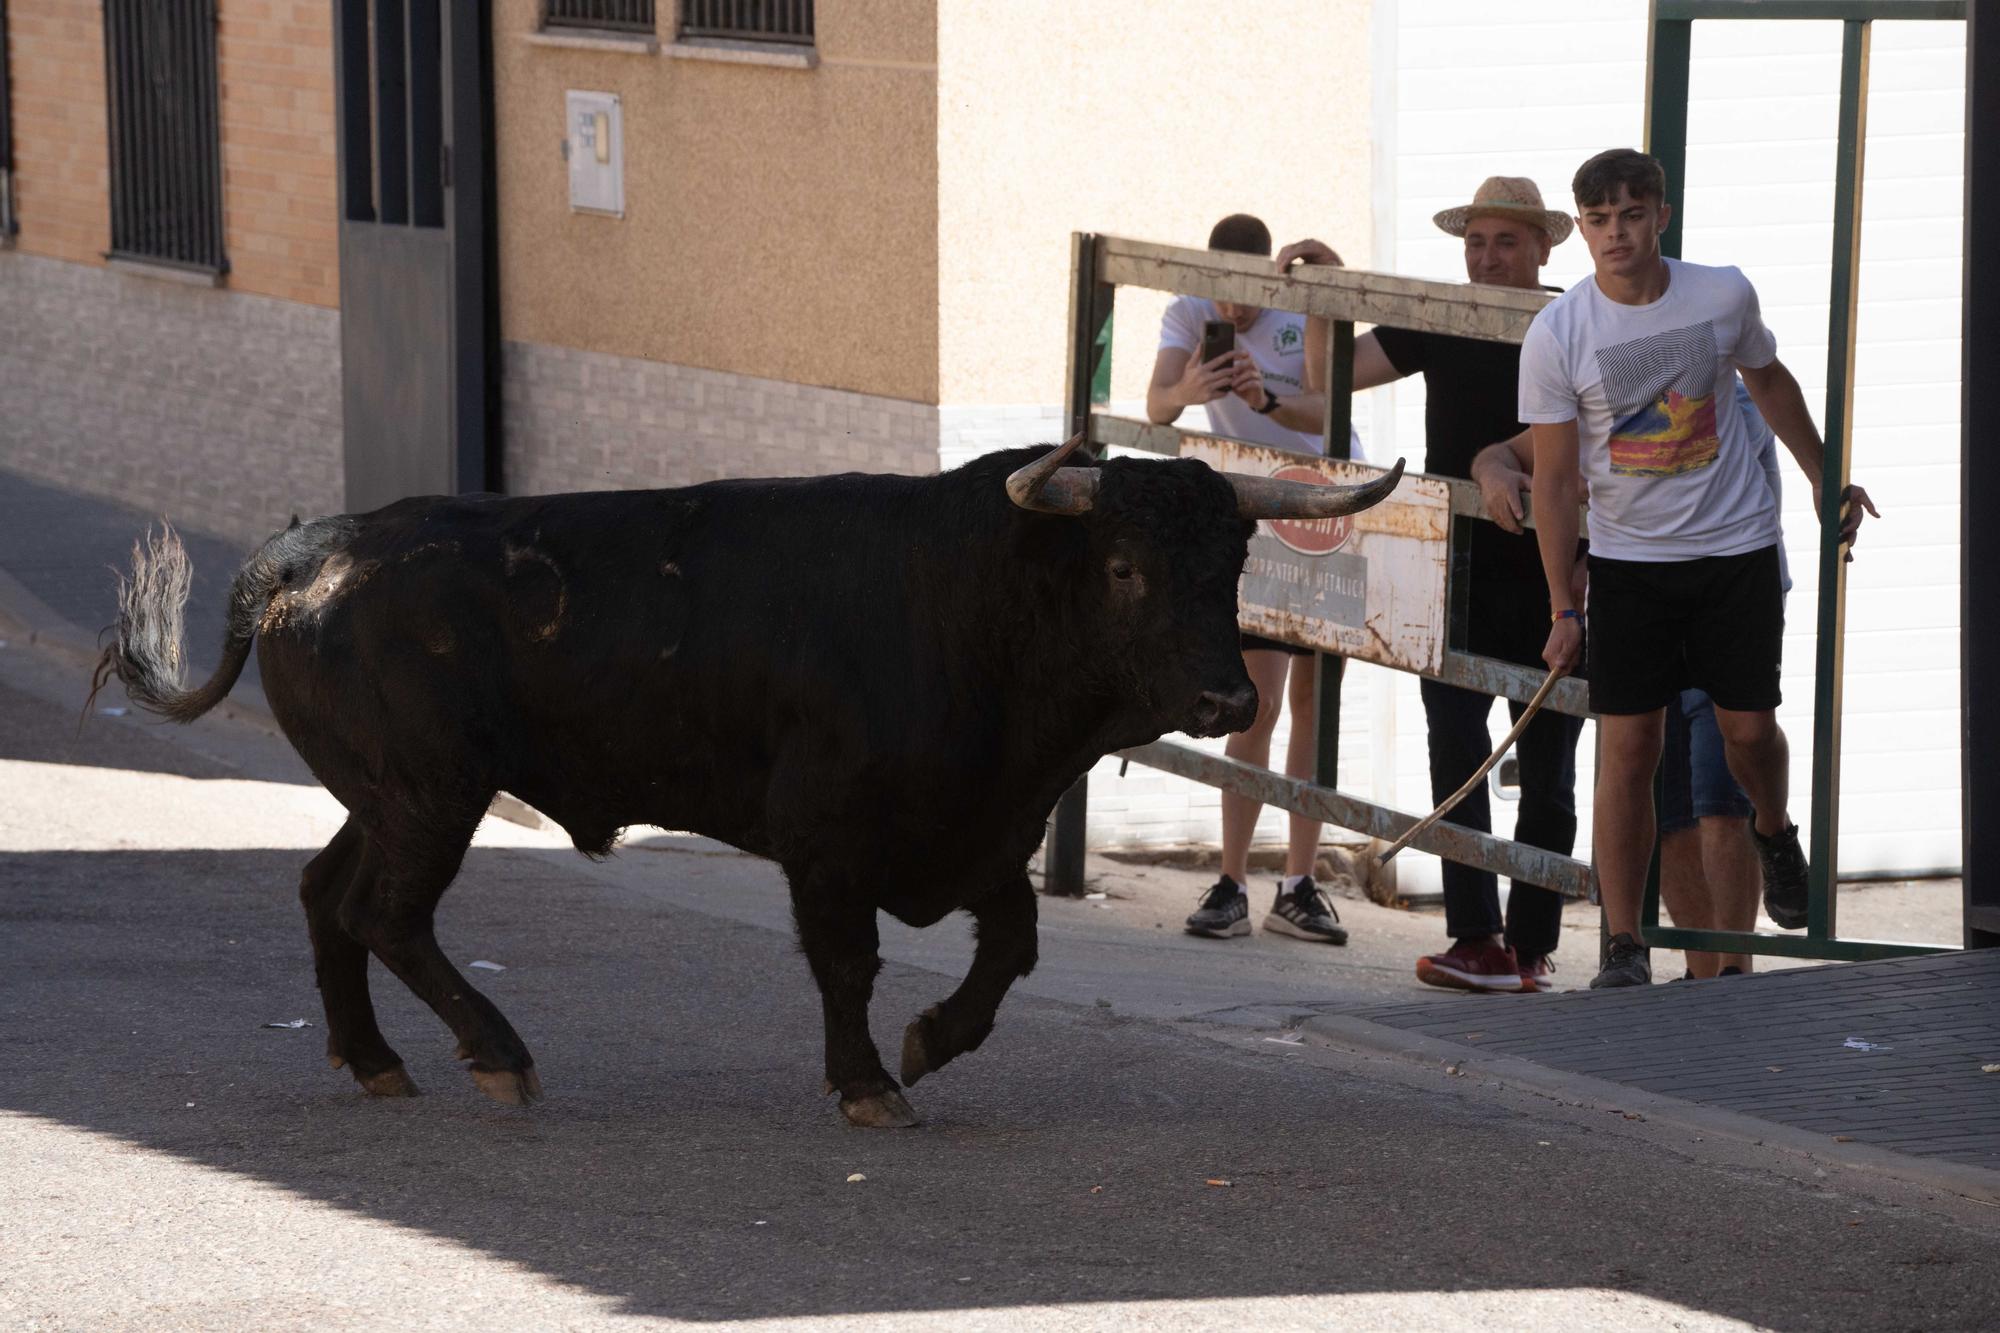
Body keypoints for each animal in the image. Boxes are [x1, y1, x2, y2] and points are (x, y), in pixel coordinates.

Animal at [97, 436, 1408, 1120]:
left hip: (386, 794)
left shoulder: (977, 831)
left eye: (1232, 561)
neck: (969, 605)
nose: (1228, 702)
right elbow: (847, 960)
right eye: (1127, 566)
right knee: (387, 912)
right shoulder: (825, 834)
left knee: (328, 895)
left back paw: (374, 1060)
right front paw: (868, 1077)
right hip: (429, 794)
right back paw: (496, 1051)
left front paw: (936, 1038)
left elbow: (1013, 942)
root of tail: (314, 546)